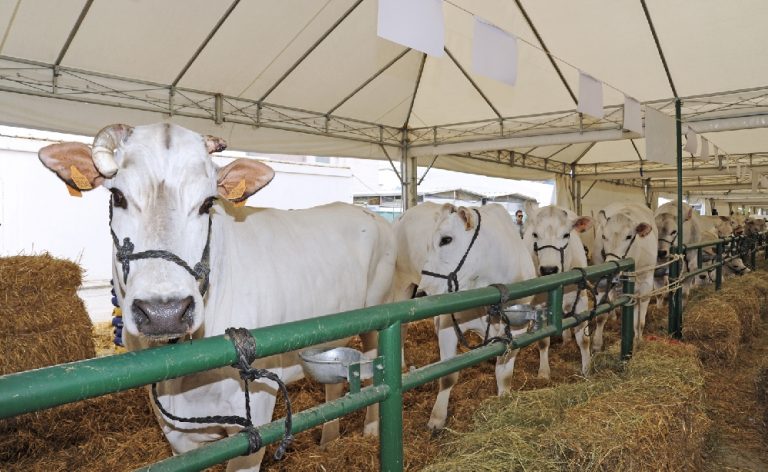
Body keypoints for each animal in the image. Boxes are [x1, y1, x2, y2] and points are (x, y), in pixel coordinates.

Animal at [37, 122, 396, 472]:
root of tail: (363, 211)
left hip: (379, 314)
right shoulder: (172, 428)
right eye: (118, 196)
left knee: (375, 369)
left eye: (207, 204)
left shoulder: (255, 414)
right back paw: (328, 439)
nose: (164, 312)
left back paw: (371, 429)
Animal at [414, 203, 536, 432]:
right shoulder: (447, 323)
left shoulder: (518, 329)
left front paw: (504, 398)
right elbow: (447, 375)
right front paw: (436, 419)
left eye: (446, 239)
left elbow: (504, 371)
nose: (421, 293)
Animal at [520, 202, 592, 376]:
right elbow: (543, 340)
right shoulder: (539, 304)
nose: (548, 270)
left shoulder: (581, 298)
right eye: (535, 234)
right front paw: (544, 372)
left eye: (566, 234)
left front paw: (587, 369)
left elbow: (584, 339)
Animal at [592, 204, 656, 346]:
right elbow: (600, 316)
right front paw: (597, 344)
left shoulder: (646, 283)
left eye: (629, 236)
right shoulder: (600, 283)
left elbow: (639, 323)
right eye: (604, 236)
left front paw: (638, 341)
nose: (611, 270)